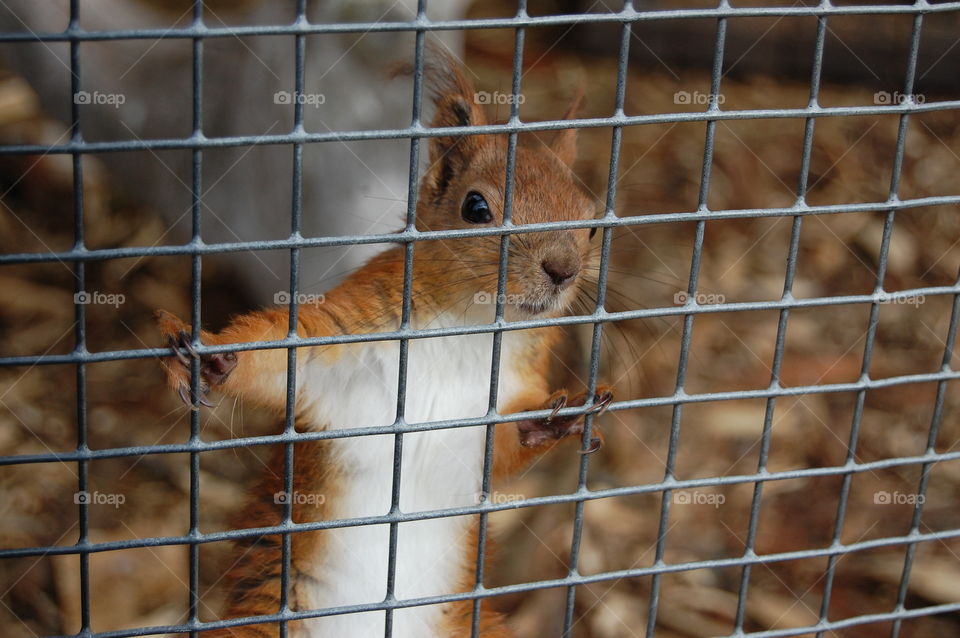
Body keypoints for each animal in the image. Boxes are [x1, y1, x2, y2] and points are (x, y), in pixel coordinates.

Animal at [156, 51, 613, 638]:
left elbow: (507, 448)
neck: (465, 329)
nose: (562, 270)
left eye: (593, 224)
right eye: (476, 208)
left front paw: (560, 416)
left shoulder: (492, 408)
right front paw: (212, 356)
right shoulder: (347, 350)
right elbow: (281, 361)